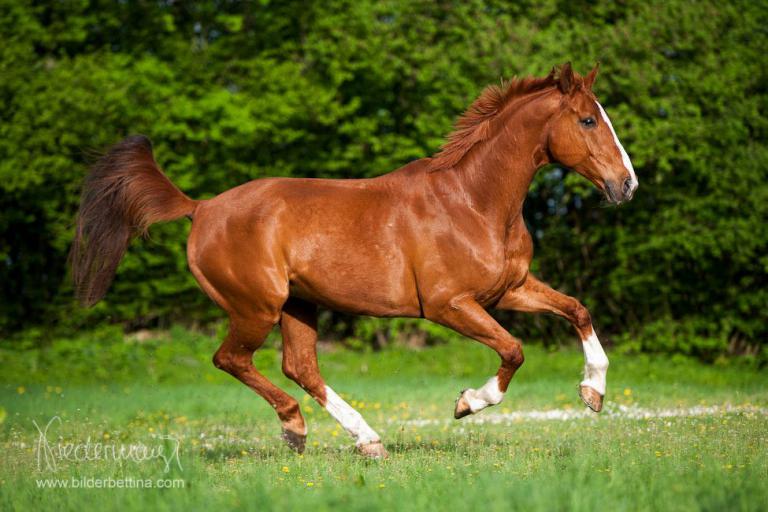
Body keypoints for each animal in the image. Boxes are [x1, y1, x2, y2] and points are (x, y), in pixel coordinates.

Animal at [70, 63, 637, 459]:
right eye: (589, 119)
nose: (627, 185)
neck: (472, 201)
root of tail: (201, 207)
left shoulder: (510, 289)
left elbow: (578, 309)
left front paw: (593, 393)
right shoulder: (449, 305)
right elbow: (514, 351)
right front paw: (466, 402)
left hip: (298, 306)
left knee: (299, 367)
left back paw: (366, 440)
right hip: (256, 306)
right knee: (232, 360)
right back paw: (298, 429)